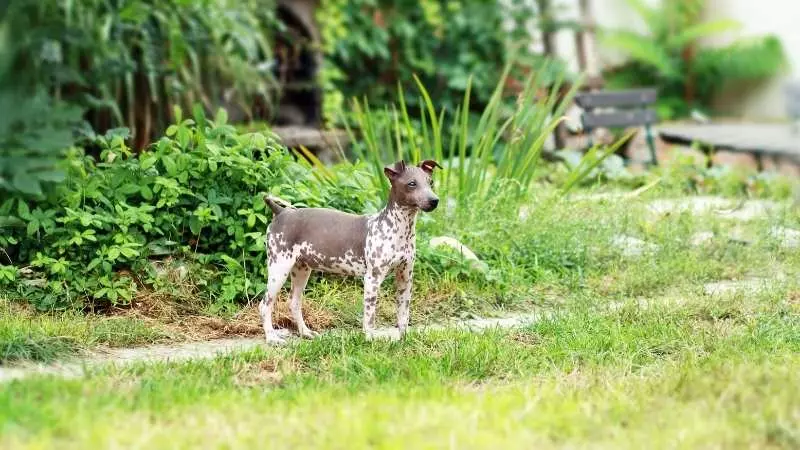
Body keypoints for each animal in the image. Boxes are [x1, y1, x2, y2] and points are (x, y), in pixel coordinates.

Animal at [260, 160, 440, 342]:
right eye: (412, 184)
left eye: (431, 183)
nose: (434, 200)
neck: (399, 229)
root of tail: (281, 212)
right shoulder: (372, 280)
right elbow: (369, 318)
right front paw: (369, 340)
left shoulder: (405, 278)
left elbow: (403, 315)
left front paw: (404, 341)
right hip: (279, 268)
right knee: (264, 305)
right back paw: (272, 337)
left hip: (301, 270)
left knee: (294, 303)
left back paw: (306, 332)